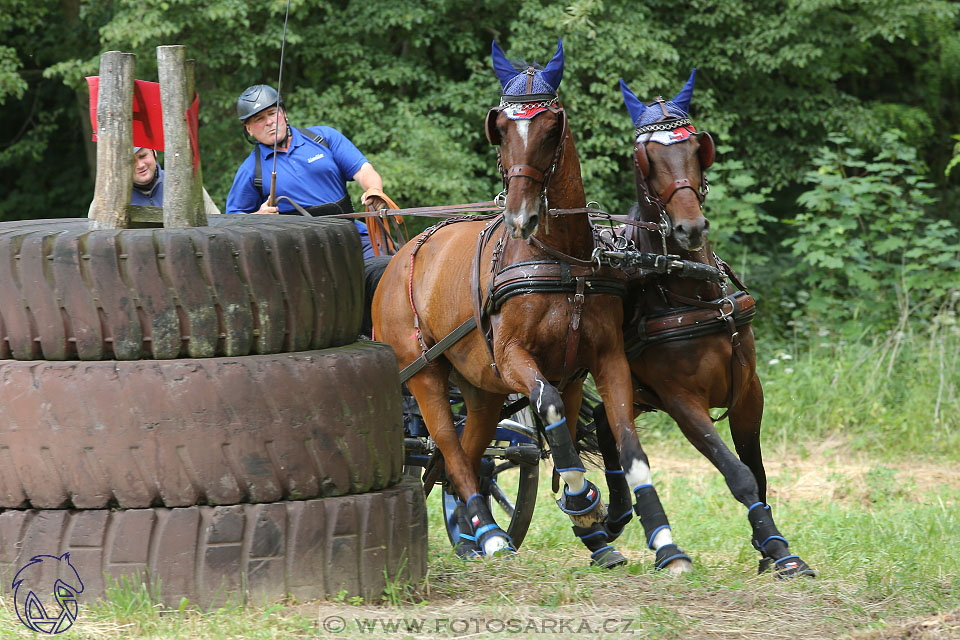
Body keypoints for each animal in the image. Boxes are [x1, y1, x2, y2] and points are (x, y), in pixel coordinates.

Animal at [372, 40, 692, 568]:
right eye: (500, 128)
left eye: (550, 127)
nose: (520, 216)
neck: (562, 261)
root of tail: (397, 262)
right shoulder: (515, 360)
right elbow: (552, 411)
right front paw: (583, 500)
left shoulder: (599, 362)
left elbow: (624, 438)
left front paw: (660, 540)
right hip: (423, 373)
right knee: (448, 447)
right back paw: (490, 535)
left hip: (481, 390)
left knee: (466, 454)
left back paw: (473, 531)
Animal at [592, 71, 816, 580]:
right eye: (646, 158)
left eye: (698, 149)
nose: (689, 228)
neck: (689, 287)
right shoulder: (681, 402)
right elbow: (738, 474)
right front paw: (778, 549)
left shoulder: (749, 391)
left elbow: (757, 470)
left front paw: (769, 545)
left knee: (603, 426)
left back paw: (614, 517)